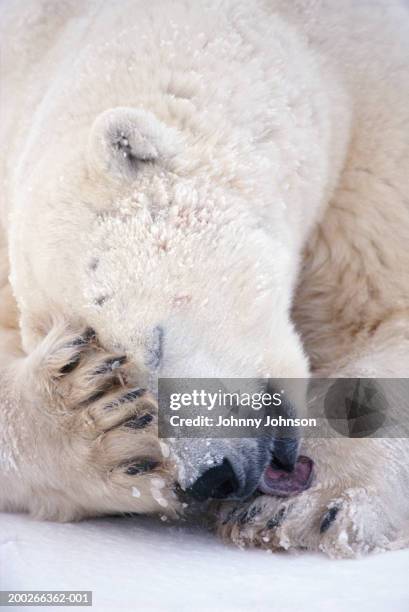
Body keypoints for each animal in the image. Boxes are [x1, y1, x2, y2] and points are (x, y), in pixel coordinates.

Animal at [0, 0, 408, 556]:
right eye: (114, 368)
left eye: (155, 343)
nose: (213, 476)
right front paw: (94, 421)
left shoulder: (376, 158)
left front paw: (302, 505)